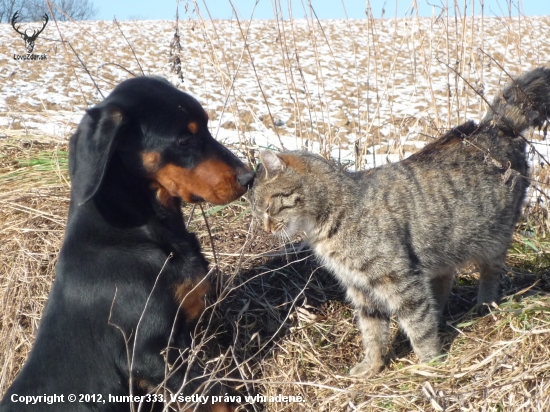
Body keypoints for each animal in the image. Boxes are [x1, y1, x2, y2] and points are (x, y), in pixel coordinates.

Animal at [248, 66, 550, 374]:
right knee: (442, 283)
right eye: (259, 210)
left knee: (489, 272)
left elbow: (418, 325)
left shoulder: (400, 280)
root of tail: (495, 126)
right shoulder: (361, 289)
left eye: (267, 207)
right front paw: (372, 365)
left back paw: (486, 305)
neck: (332, 218)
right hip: (441, 247)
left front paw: (431, 364)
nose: (265, 227)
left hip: (494, 238)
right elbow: (372, 330)